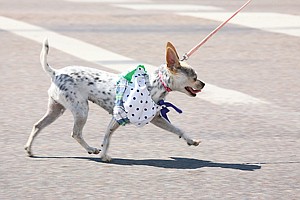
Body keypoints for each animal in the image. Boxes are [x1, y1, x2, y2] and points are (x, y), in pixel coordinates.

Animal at [24, 38, 205, 162]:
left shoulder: (156, 118)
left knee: (38, 125)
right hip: (81, 110)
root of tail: (56, 73)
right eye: (194, 77)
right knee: (75, 133)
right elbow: (107, 138)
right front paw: (104, 156)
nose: (203, 84)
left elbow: (177, 129)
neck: (154, 84)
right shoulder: (118, 117)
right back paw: (91, 149)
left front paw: (191, 140)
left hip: (56, 109)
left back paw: (29, 150)